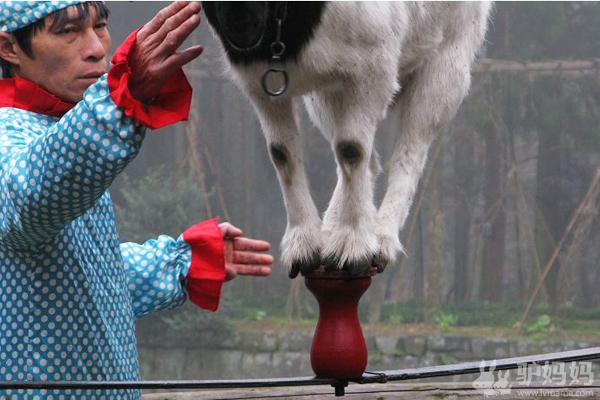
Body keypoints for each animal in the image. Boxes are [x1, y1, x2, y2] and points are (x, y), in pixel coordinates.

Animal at [202, 2, 492, 278]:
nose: (239, 24)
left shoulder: (372, 67)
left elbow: (352, 150)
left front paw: (353, 248)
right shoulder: (260, 79)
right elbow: (282, 153)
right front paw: (304, 246)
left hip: (449, 55)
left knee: (412, 147)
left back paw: (382, 240)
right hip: (326, 94)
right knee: (369, 160)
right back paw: (332, 229)